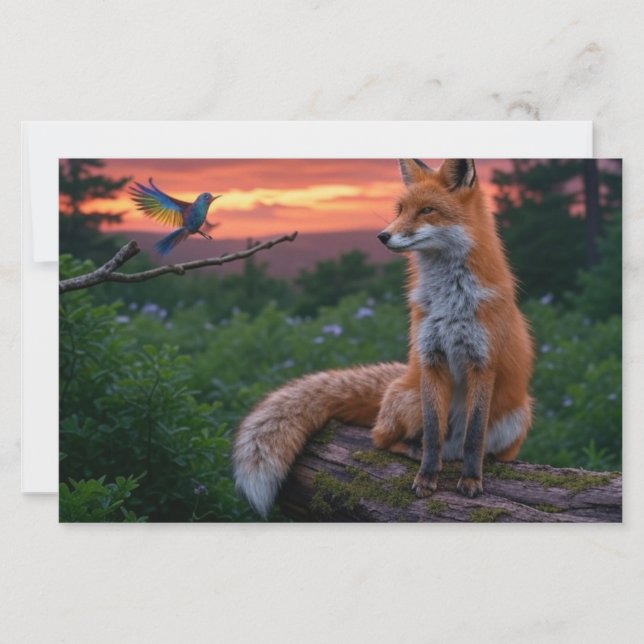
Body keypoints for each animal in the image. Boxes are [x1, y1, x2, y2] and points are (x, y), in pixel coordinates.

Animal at [233, 158, 534, 516]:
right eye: (400, 210)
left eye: (427, 210)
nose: (382, 236)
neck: (449, 302)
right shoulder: (431, 359)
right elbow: (432, 433)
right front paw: (426, 478)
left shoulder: (482, 363)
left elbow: (475, 437)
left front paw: (472, 480)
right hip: (412, 399)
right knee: (382, 438)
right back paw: (415, 451)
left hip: (516, 417)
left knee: (476, 447)